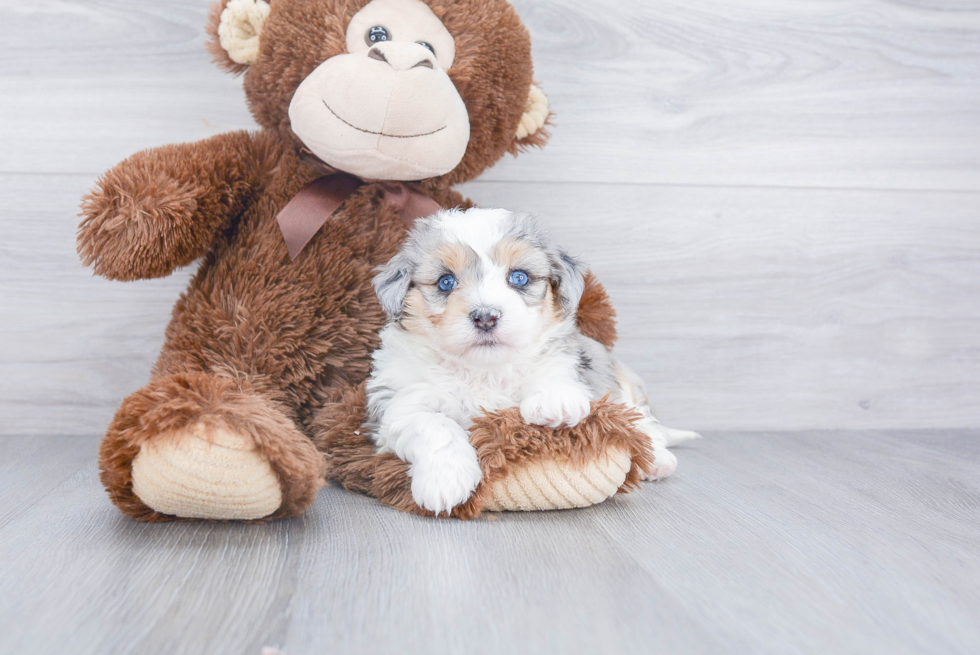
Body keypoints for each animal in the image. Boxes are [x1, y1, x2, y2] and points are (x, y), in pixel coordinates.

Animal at [366, 208, 696, 516]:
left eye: (519, 277)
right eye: (446, 282)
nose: (485, 316)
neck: (484, 370)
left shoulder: (566, 358)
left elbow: (551, 372)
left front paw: (555, 401)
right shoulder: (400, 404)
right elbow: (433, 424)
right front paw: (445, 482)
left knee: (641, 421)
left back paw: (657, 460)